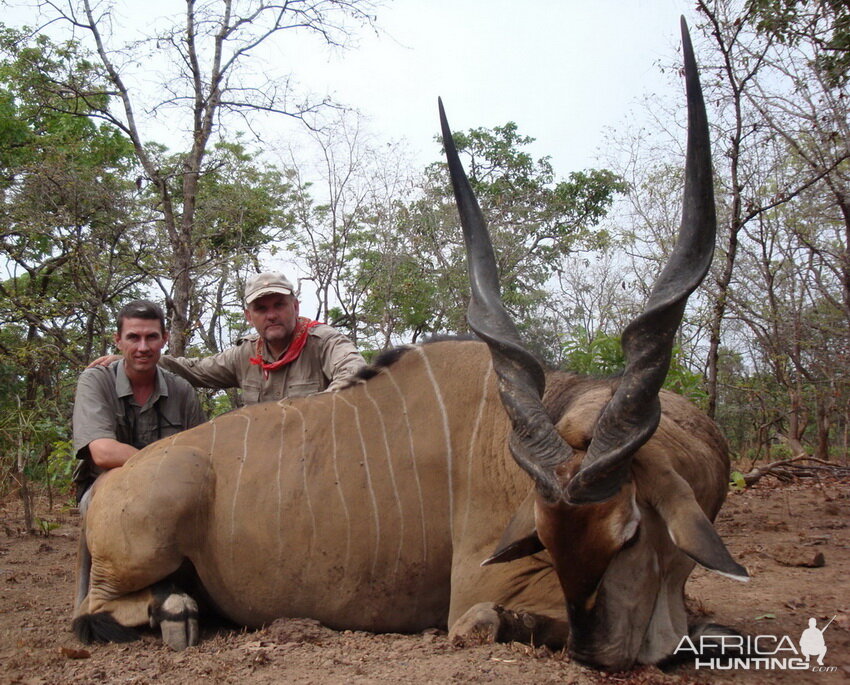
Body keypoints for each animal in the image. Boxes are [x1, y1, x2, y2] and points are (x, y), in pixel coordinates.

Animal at [74, 20, 748, 668]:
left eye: (631, 534)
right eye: (551, 538)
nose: (600, 652)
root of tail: (108, 489)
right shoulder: (485, 586)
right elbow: (483, 620)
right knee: (95, 611)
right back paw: (174, 613)